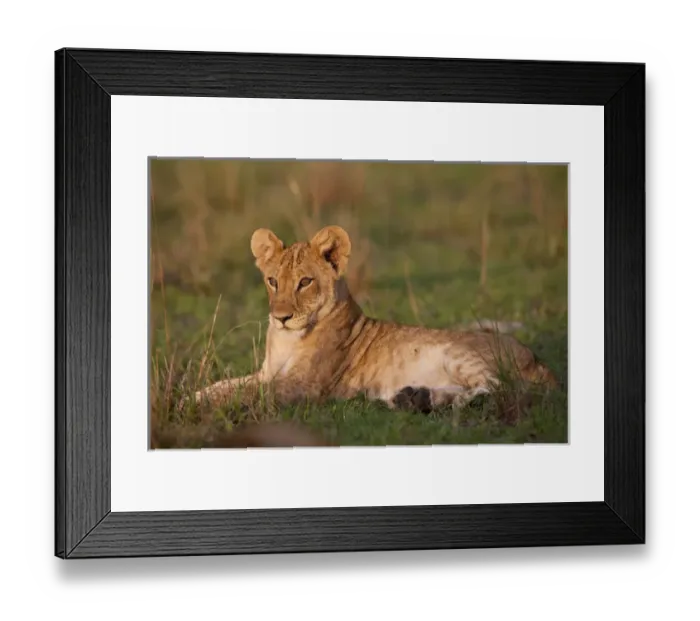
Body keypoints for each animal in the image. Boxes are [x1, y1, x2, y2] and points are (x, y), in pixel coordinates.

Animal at [186, 225, 558, 415]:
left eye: (305, 282)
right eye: (272, 281)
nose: (281, 317)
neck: (286, 339)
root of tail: (538, 360)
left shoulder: (303, 386)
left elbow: (246, 394)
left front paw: (190, 405)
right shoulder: (266, 373)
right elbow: (226, 385)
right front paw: (191, 396)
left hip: (461, 354)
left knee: (497, 386)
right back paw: (414, 398)